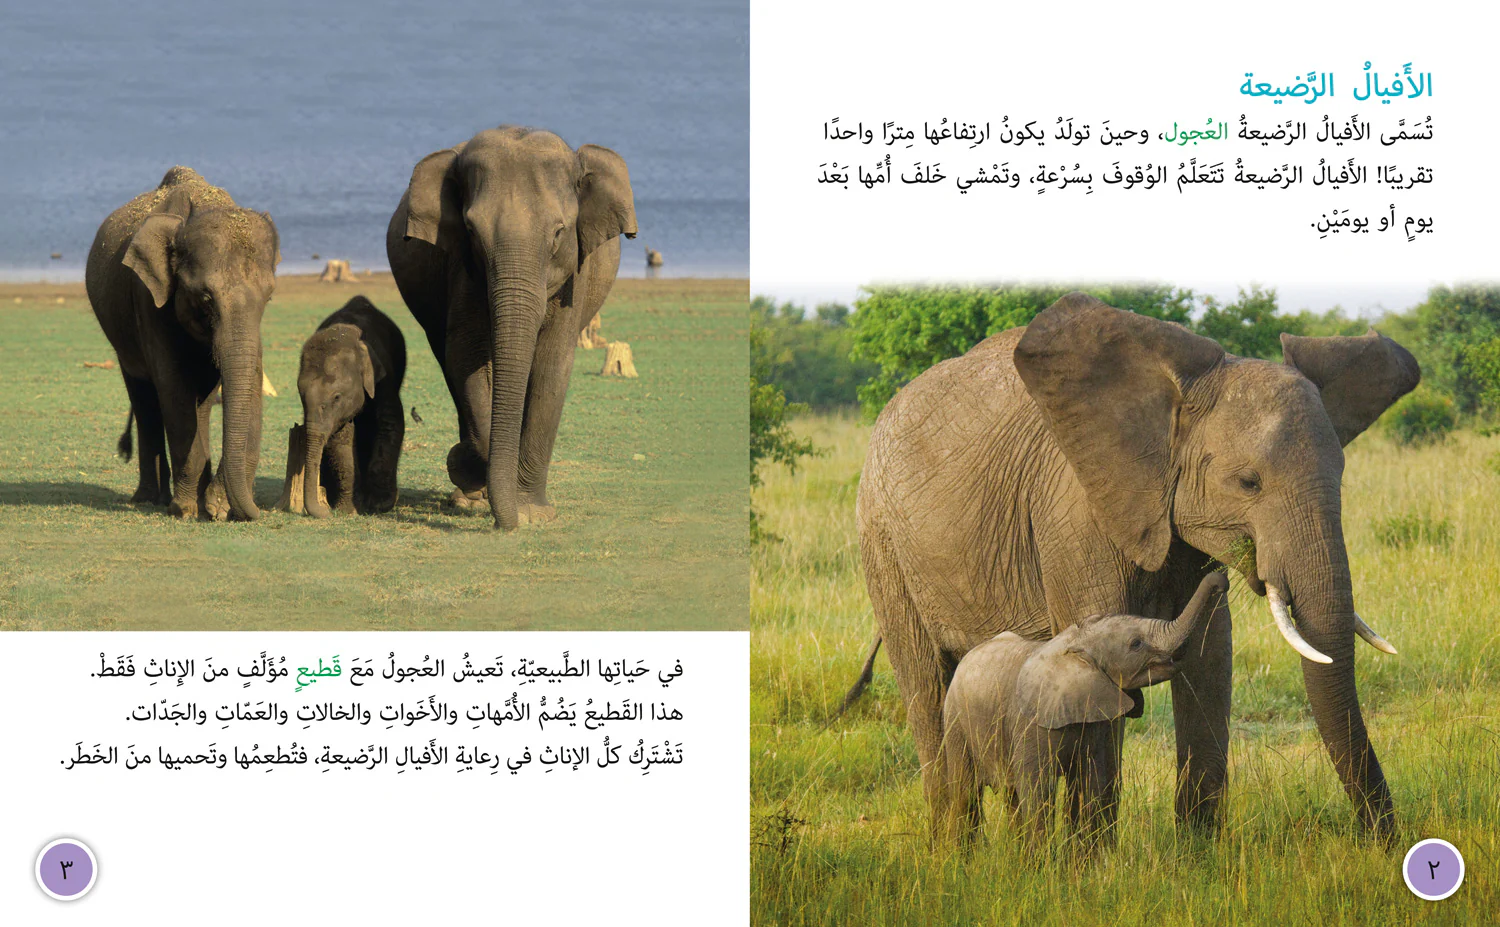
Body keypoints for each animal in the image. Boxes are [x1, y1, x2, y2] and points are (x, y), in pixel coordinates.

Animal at [86, 166, 279, 521]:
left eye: (269, 297)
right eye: (205, 297)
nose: (255, 512)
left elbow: (249, 379)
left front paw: (213, 507)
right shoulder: (148, 298)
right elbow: (172, 386)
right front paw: (185, 510)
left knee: (200, 402)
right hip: (122, 341)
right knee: (145, 399)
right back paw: (152, 499)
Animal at [294, 295, 407, 517]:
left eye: (337, 397)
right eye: (301, 396)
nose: (325, 511)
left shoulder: (384, 378)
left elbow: (391, 423)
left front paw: (379, 505)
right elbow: (341, 439)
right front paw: (348, 510)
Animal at [386, 126, 637, 530]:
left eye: (559, 233)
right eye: (471, 231)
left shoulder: (574, 278)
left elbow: (552, 365)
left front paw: (533, 513)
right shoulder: (462, 270)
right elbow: (466, 355)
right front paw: (473, 476)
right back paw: (469, 496)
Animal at [943, 572, 1228, 845]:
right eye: (1135, 644)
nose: (1221, 581)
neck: (1076, 644)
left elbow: (1090, 782)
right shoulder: (1030, 723)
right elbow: (1038, 790)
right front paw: (1042, 861)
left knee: (1010, 797)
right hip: (955, 720)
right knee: (964, 792)